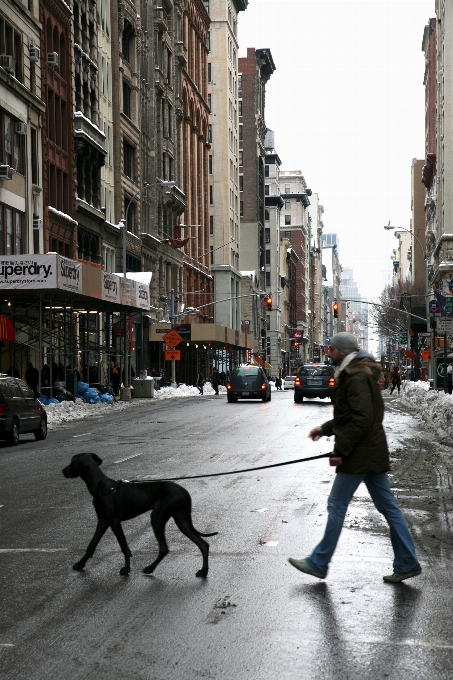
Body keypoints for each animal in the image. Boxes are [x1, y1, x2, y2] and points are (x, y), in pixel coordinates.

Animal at [63, 454, 217, 576]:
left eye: (72, 462)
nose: (62, 471)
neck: (101, 486)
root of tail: (184, 491)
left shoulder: (114, 521)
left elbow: (124, 547)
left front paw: (126, 569)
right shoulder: (103, 521)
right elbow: (91, 544)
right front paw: (80, 564)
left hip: (157, 517)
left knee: (164, 548)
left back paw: (150, 568)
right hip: (181, 520)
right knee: (203, 544)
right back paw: (204, 571)